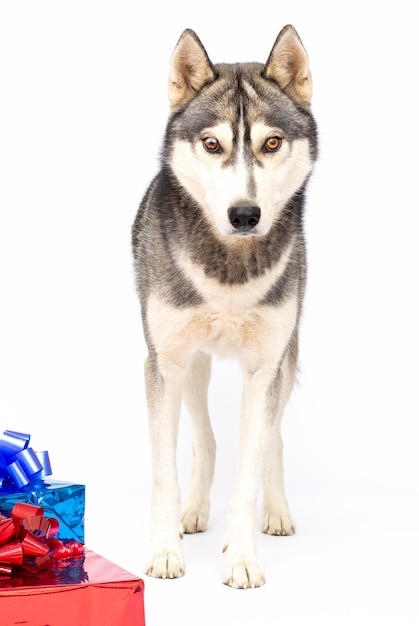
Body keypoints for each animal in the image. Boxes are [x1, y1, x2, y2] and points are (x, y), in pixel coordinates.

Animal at [134, 24, 318, 588]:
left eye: (272, 142)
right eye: (212, 143)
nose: (244, 215)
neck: (230, 272)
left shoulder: (265, 368)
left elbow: (251, 469)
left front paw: (241, 557)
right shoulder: (164, 362)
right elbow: (164, 474)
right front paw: (166, 551)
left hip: (285, 358)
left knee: (272, 440)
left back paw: (276, 511)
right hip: (192, 365)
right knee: (205, 440)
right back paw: (194, 511)